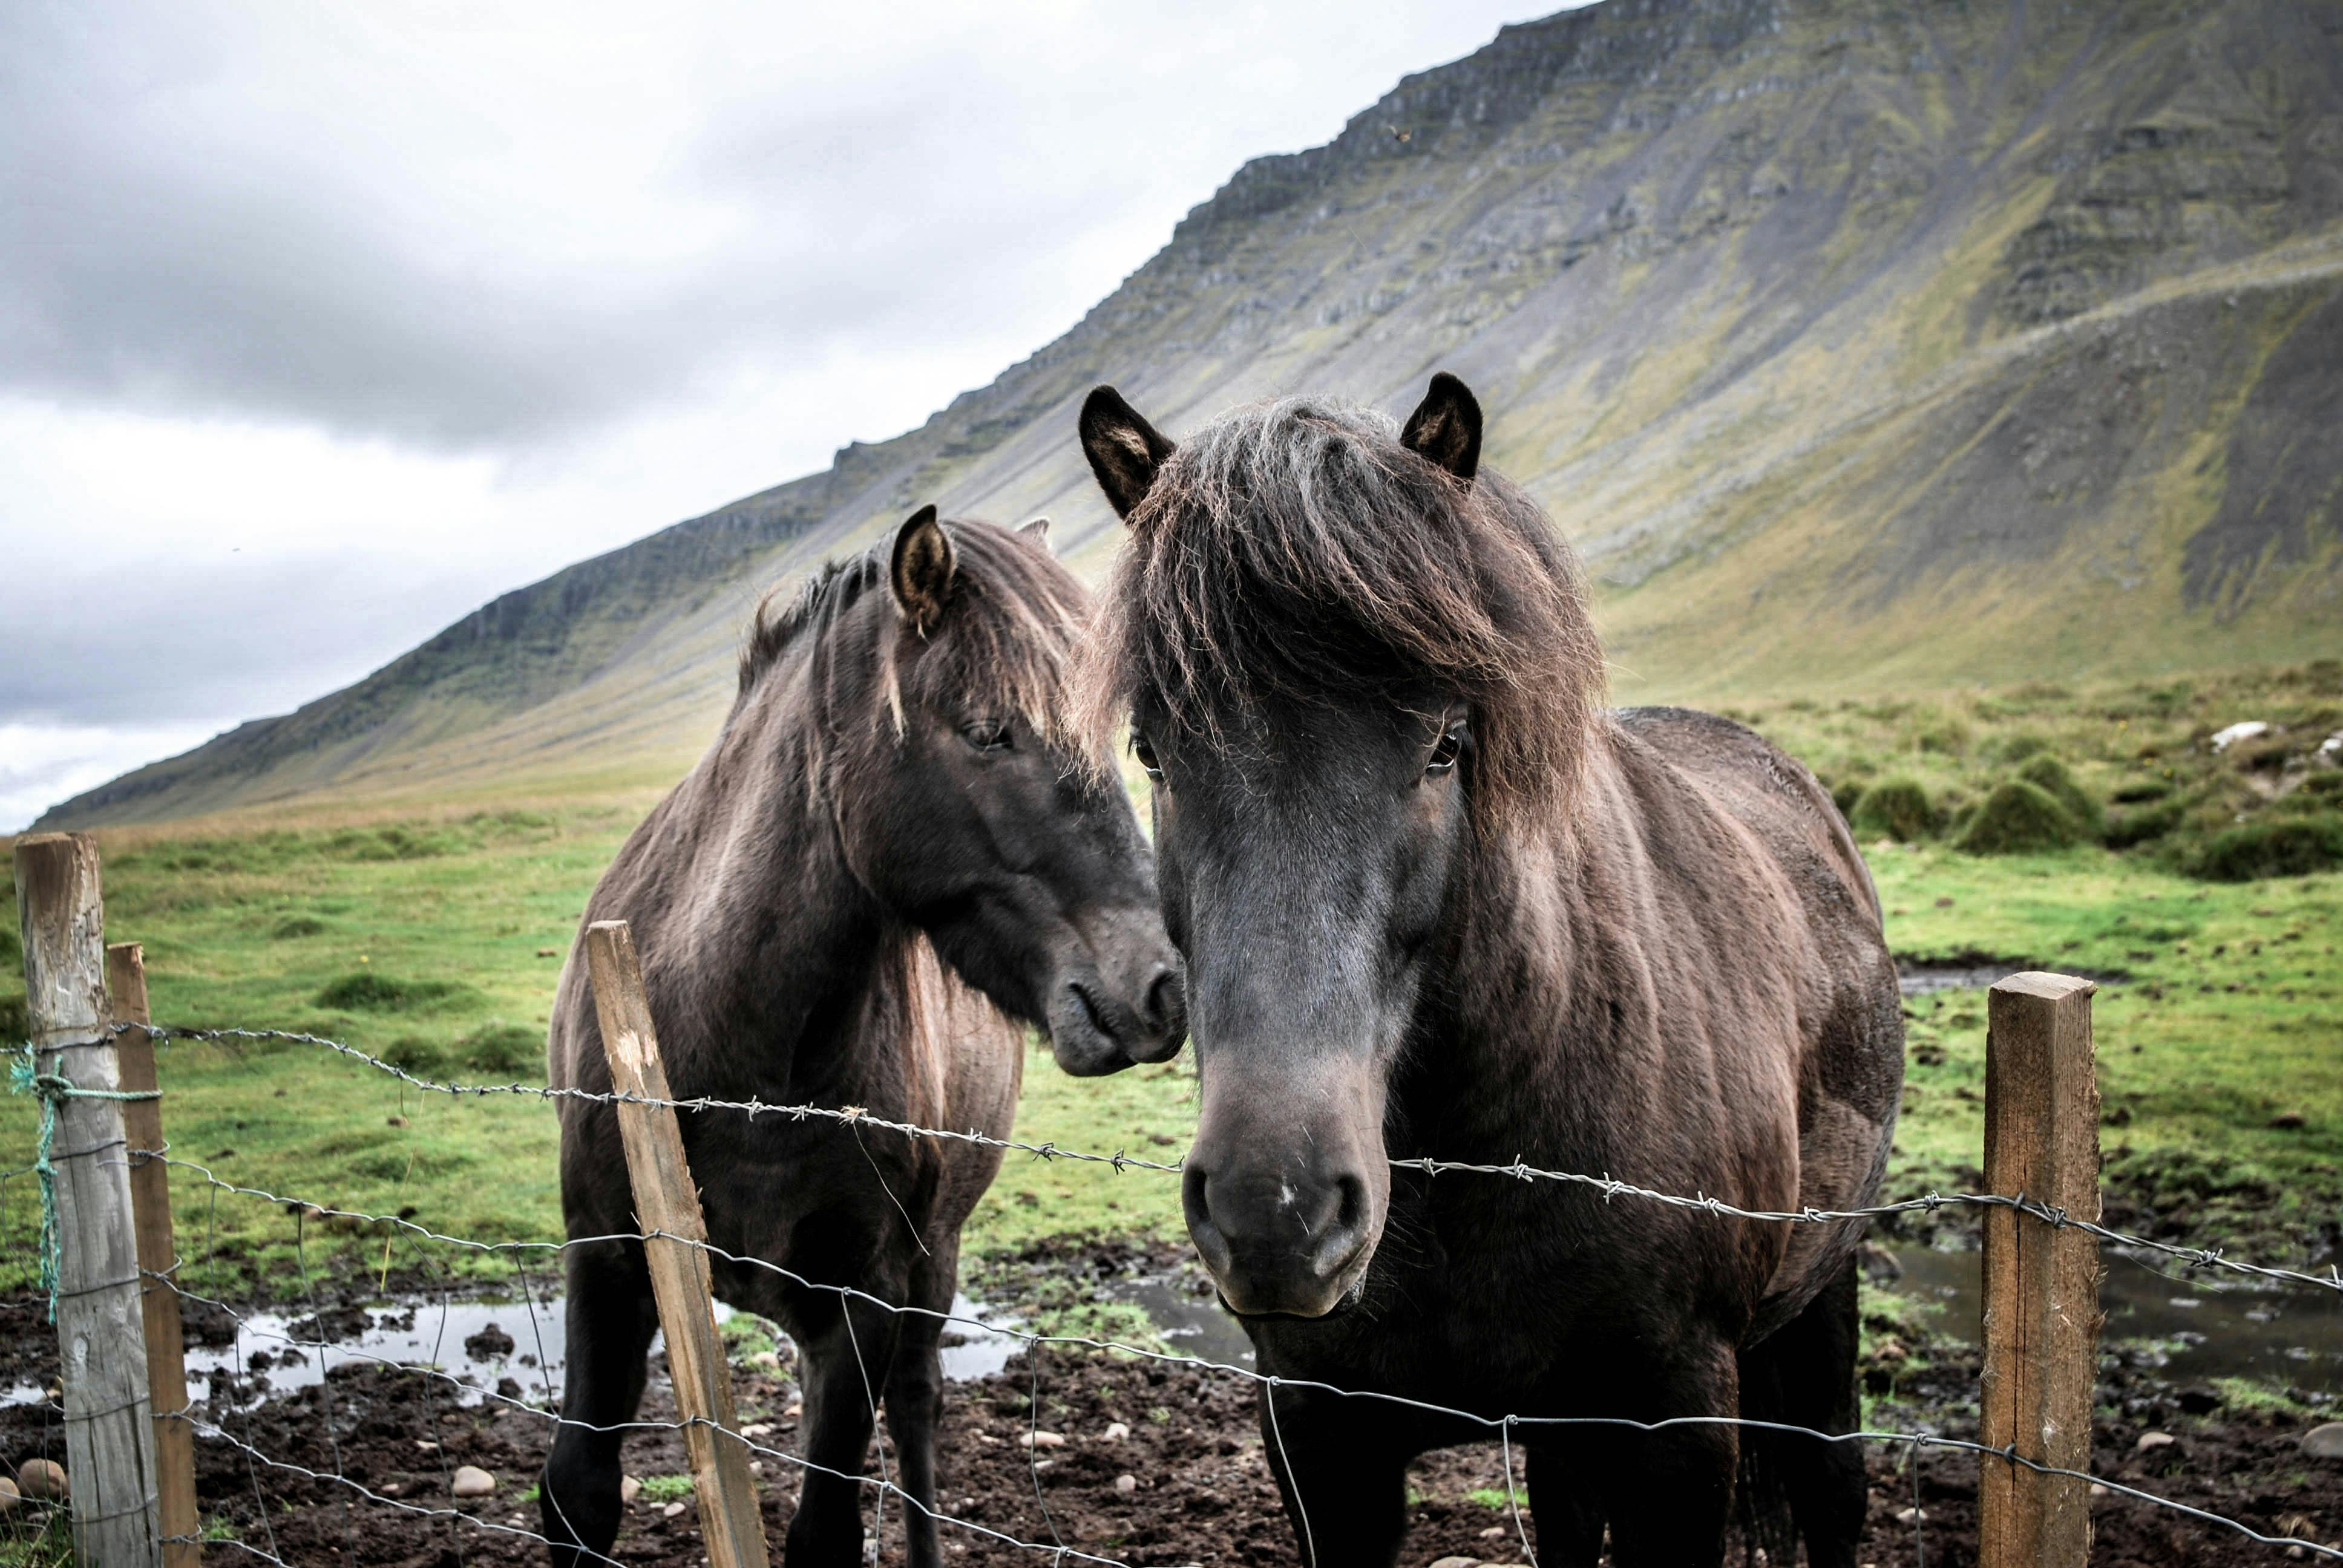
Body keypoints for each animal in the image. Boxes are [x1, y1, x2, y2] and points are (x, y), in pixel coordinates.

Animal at [539, 511, 1181, 1566]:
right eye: (988, 731)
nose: (1161, 987)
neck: (743, 1062)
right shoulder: (608, 1259)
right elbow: (579, 1493)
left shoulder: (867, 1300)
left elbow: (828, 1526)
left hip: (930, 1268)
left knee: (915, 1418)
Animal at [1078, 379, 1902, 1566]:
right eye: (1153, 751)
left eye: (1443, 744)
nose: (1274, 1212)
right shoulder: (1322, 1440)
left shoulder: (1680, 1430)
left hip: (1822, 1305)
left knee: (1834, 1490)